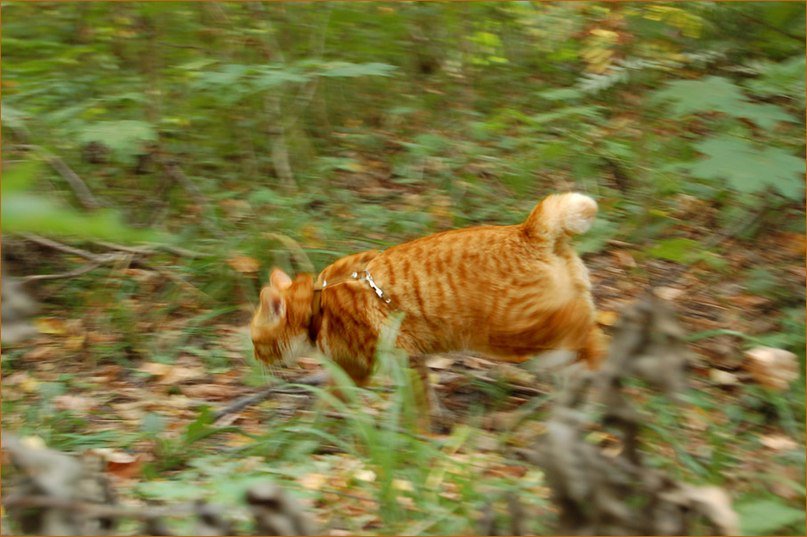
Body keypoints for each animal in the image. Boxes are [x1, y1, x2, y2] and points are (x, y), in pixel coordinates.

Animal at [252, 194, 608, 410]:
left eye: (256, 342)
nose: (256, 360)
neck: (319, 304)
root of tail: (528, 231)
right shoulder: (411, 361)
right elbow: (423, 399)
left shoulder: (362, 368)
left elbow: (333, 399)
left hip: (518, 334)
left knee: (591, 338)